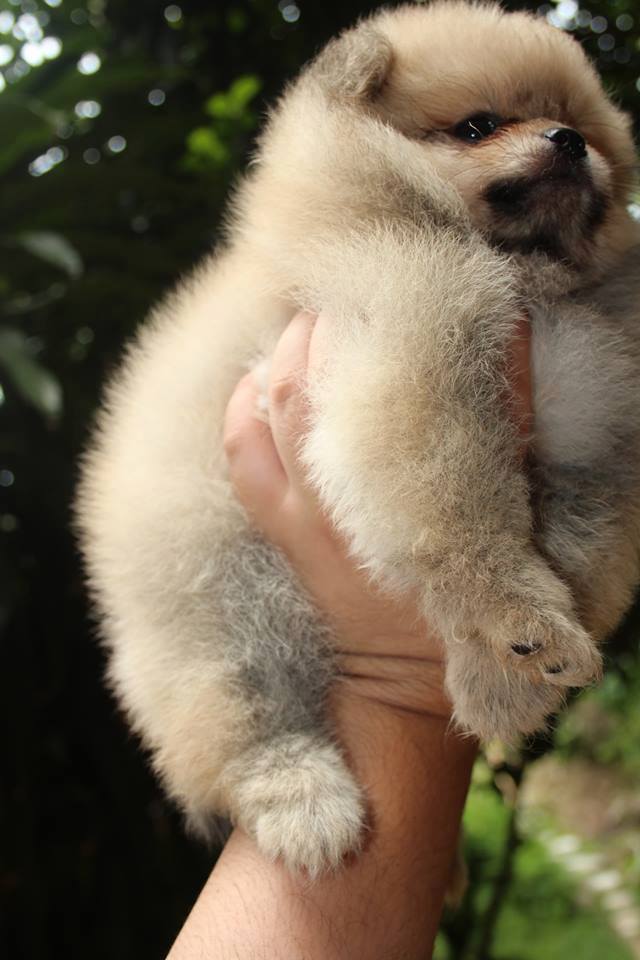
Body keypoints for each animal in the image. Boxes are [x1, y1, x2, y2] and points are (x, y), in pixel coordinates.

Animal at [76, 1, 640, 874]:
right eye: (478, 126)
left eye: (586, 132)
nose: (569, 142)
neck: (532, 288)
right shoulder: (418, 321)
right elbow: (464, 523)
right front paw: (517, 620)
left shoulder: (598, 435)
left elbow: (580, 552)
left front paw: (503, 680)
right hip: (212, 589)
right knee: (233, 713)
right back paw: (301, 799)